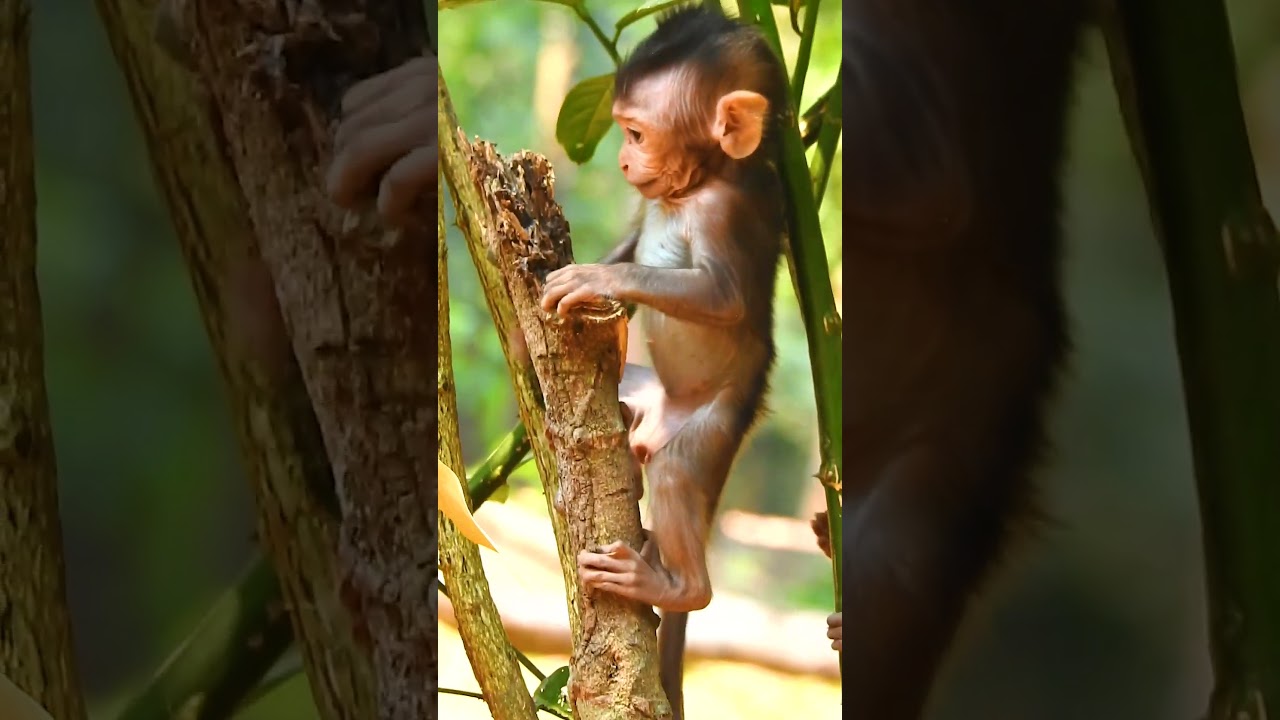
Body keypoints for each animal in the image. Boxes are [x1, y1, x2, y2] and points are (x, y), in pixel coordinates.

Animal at [536, 6, 788, 718]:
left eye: (637, 132)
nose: (624, 158)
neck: (696, 185)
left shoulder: (726, 212)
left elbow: (724, 298)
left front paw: (595, 279)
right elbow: (630, 241)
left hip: (717, 421)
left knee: (677, 474)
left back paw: (678, 587)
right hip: (654, 401)